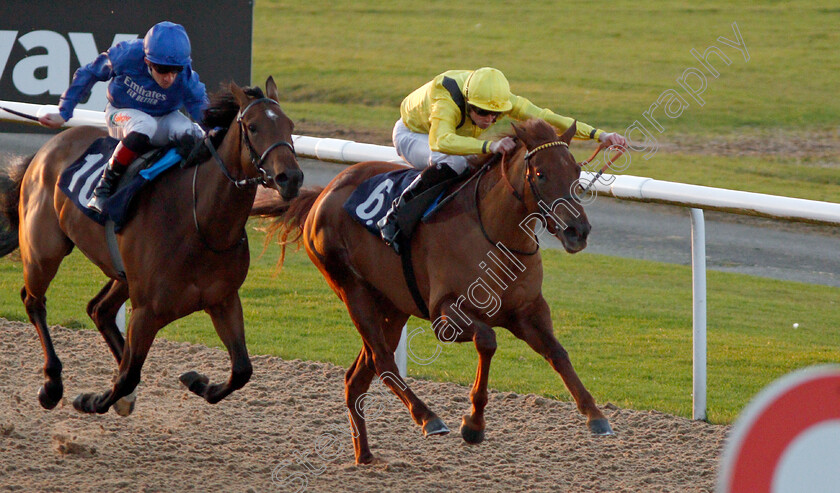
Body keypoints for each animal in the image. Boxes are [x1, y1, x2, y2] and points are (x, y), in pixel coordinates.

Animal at [0, 77, 302, 416]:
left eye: (289, 125)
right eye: (252, 127)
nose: (290, 177)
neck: (200, 221)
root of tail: (47, 148)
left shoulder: (223, 300)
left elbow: (241, 370)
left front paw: (196, 381)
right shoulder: (147, 311)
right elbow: (128, 376)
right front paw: (90, 400)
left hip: (123, 274)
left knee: (99, 310)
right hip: (44, 249)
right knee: (34, 301)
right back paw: (52, 385)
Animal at [254, 117, 612, 464]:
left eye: (576, 171)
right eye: (540, 173)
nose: (577, 231)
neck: (496, 235)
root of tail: (323, 192)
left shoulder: (529, 310)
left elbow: (558, 353)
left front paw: (595, 415)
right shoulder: (445, 316)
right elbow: (487, 340)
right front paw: (473, 424)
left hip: (392, 306)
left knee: (357, 377)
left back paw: (364, 456)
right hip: (351, 289)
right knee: (383, 363)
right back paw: (428, 418)